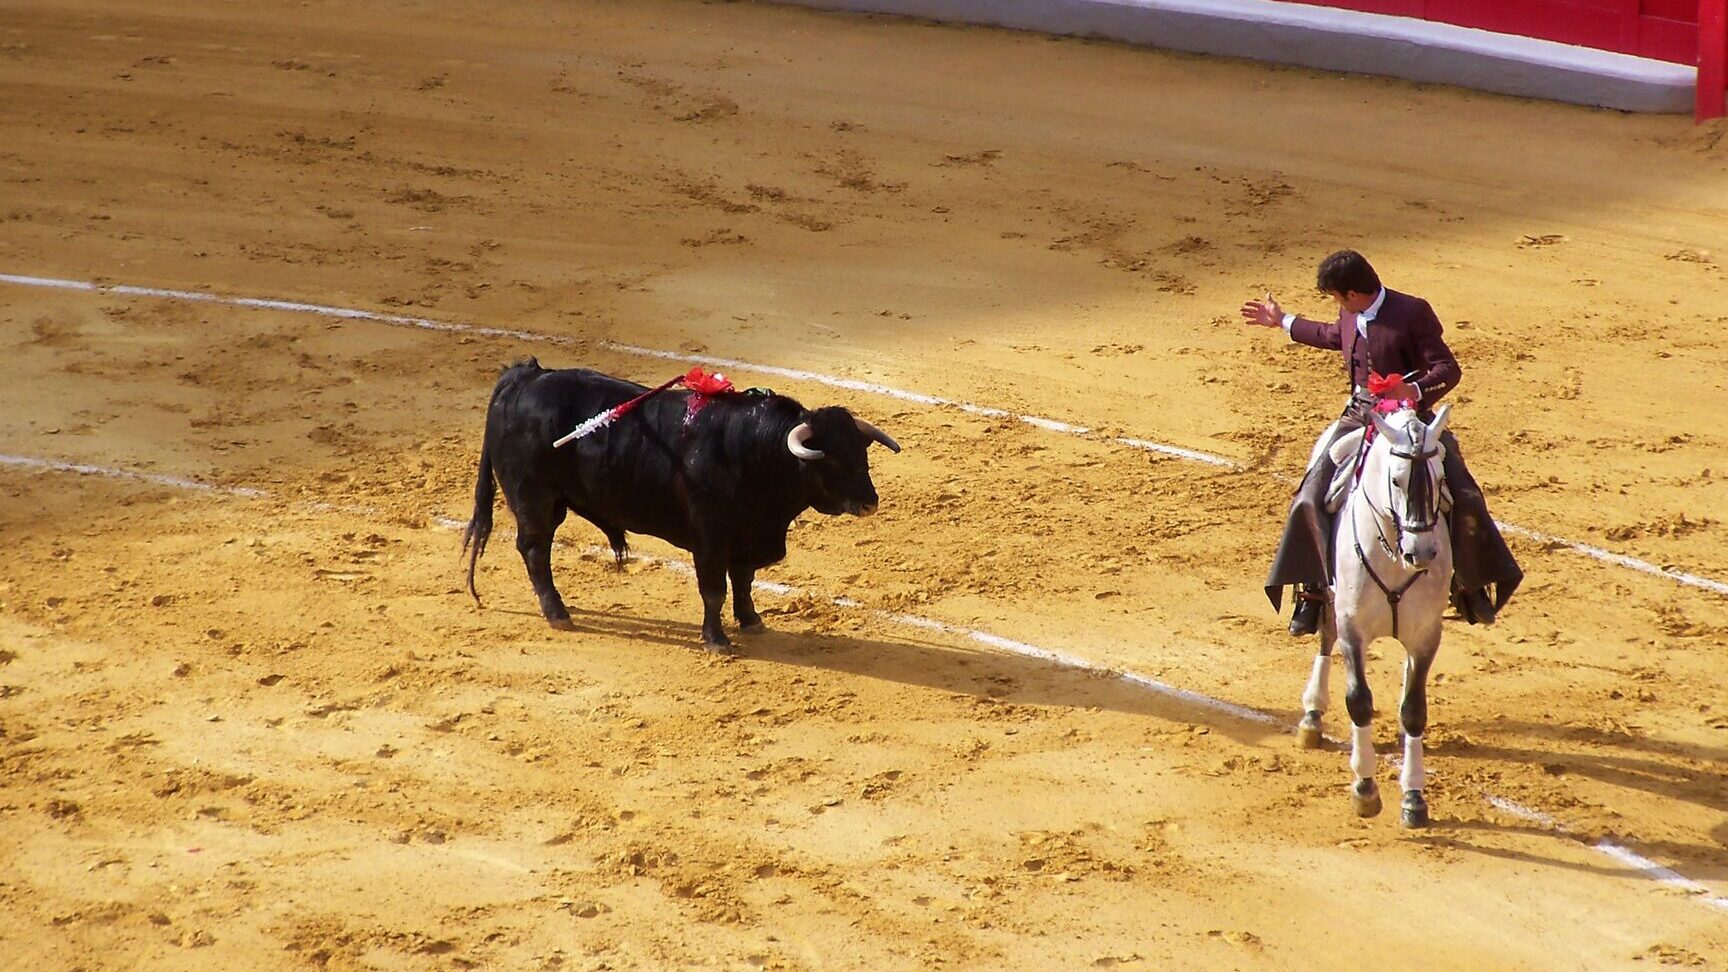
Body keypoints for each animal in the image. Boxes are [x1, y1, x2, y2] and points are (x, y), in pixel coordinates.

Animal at [466, 359, 905, 646]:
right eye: (830, 458)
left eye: (862, 453)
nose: (870, 502)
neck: (754, 450)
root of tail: (525, 375)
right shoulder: (710, 539)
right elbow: (714, 589)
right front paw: (717, 640)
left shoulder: (747, 537)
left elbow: (743, 581)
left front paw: (752, 621)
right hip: (535, 500)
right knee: (534, 549)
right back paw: (558, 613)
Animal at [1299, 401, 1451, 823]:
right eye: (1396, 480)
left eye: (1440, 477)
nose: (1422, 553)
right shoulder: (1354, 628)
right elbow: (1359, 701)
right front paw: (1365, 787)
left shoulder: (1426, 635)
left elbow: (1414, 709)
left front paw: (1414, 796)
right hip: (1329, 596)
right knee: (1326, 634)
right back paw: (1312, 715)